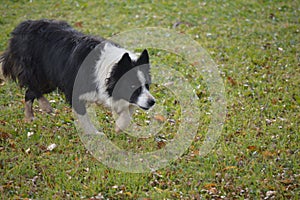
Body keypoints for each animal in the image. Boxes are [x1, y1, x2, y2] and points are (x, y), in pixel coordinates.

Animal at [2, 19, 156, 132]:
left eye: (147, 85)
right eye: (132, 85)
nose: (152, 102)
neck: (111, 66)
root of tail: (23, 27)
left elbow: (129, 109)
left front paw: (120, 126)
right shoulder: (75, 90)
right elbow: (84, 117)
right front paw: (93, 134)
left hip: (51, 79)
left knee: (29, 92)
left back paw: (32, 116)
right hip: (41, 74)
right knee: (32, 87)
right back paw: (42, 108)